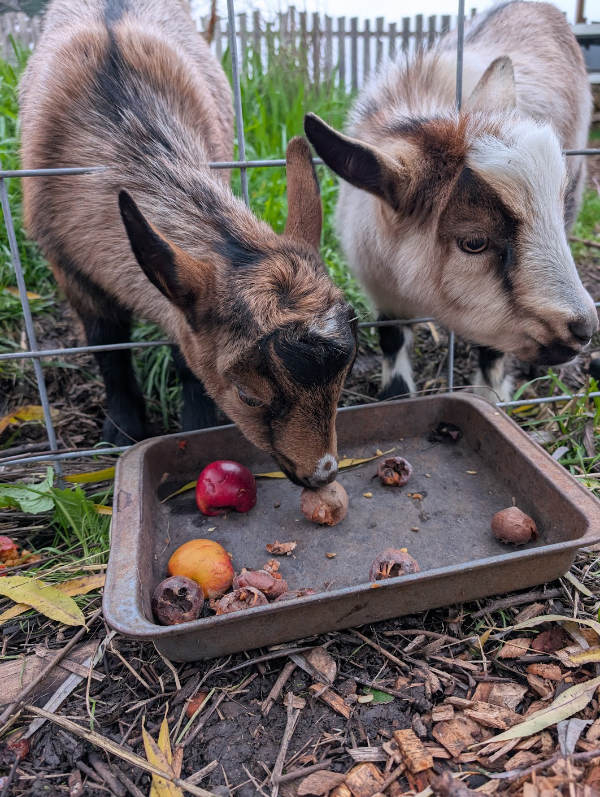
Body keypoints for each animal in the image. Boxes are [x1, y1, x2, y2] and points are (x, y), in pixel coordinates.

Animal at [19, 0, 357, 488]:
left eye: (346, 375)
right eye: (248, 395)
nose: (321, 474)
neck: (118, 112)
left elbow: (182, 353)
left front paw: (196, 422)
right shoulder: (67, 264)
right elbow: (106, 343)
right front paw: (121, 429)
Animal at [305, 0, 597, 402]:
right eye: (473, 242)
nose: (585, 330)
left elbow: (492, 348)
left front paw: (490, 395)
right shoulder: (382, 288)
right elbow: (391, 337)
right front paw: (396, 394)